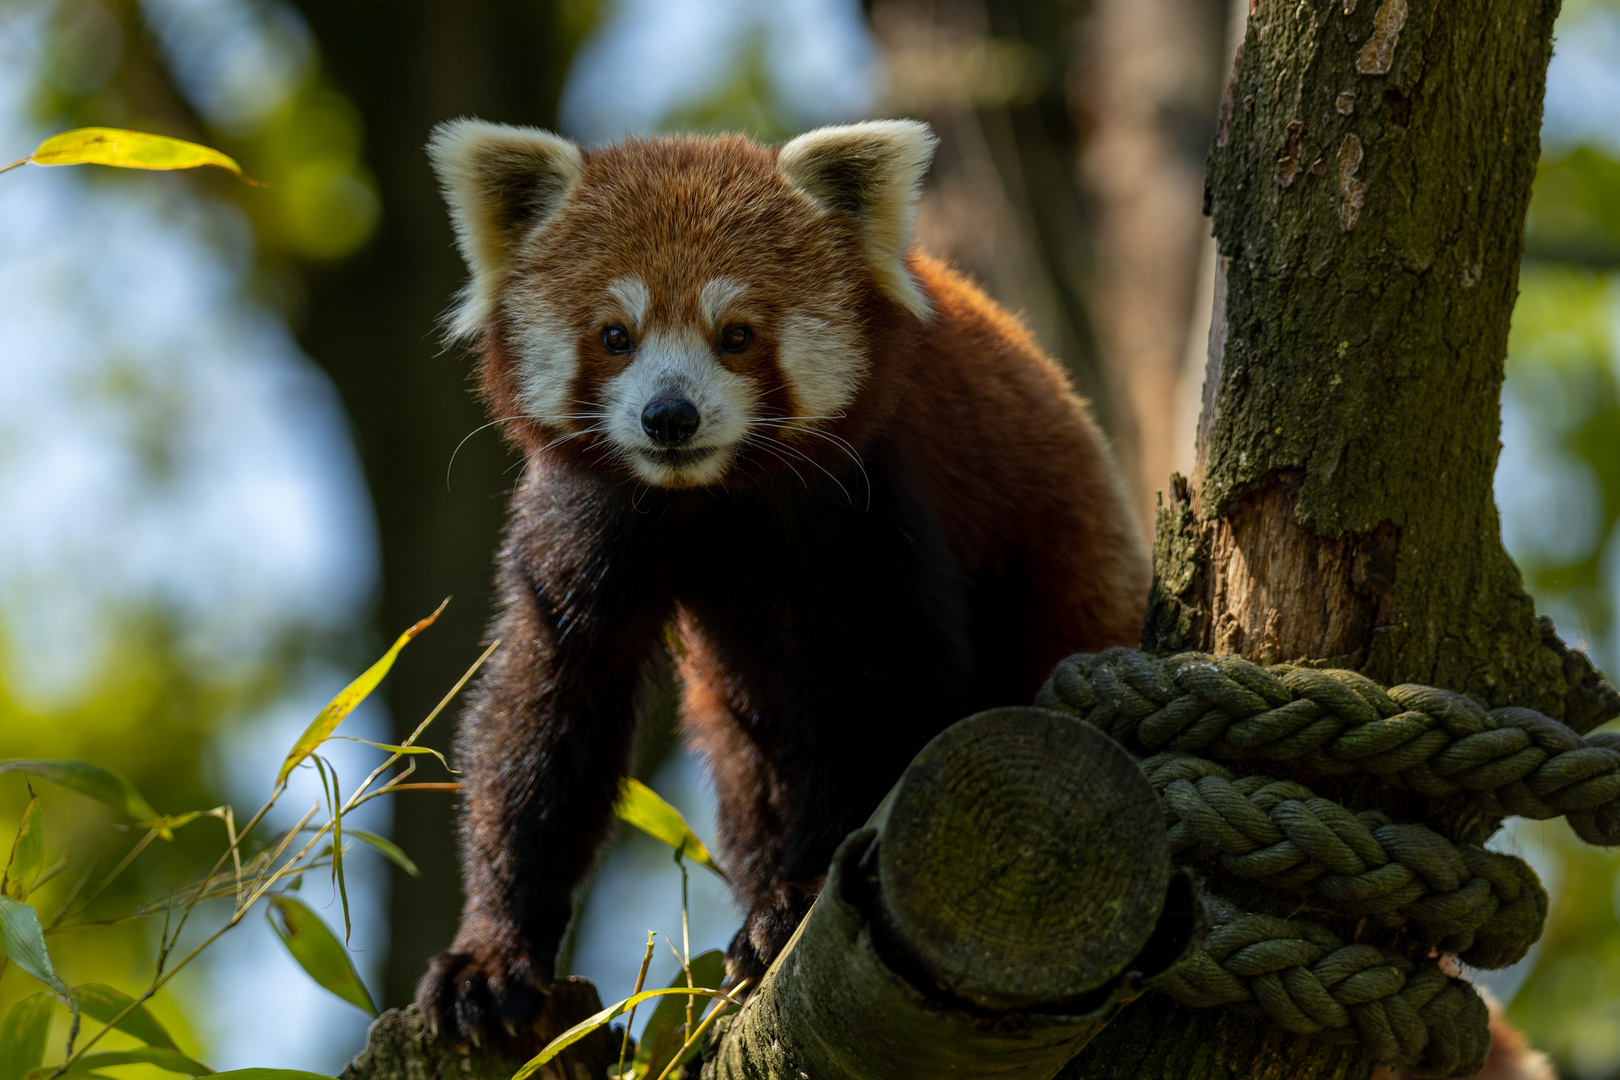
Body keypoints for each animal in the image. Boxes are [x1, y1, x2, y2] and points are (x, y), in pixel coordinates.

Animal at [417, 120, 1153, 1049]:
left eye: (735, 334)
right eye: (616, 336)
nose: (669, 416)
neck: (712, 495)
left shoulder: (863, 497)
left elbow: (882, 694)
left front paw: (794, 908)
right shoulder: (591, 514)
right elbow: (547, 701)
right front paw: (492, 954)